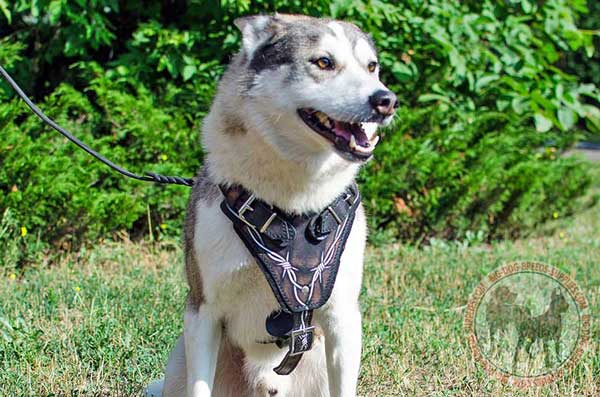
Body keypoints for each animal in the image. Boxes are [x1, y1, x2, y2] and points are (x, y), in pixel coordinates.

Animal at [145, 13, 396, 396]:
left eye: (372, 67)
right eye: (324, 62)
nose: (386, 100)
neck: (292, 203)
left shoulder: (343, 317)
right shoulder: (202, 312)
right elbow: (199, 384)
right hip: (180, 363)